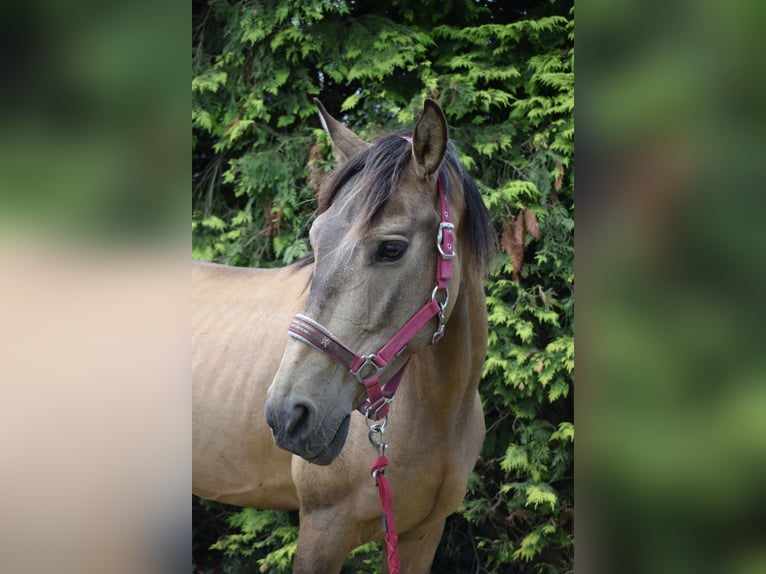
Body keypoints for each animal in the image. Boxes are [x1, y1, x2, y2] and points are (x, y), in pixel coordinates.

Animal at [195, 99, 496, 574]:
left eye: (391, 248)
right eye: (315, 240)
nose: (287, 415)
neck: (439, 412)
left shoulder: (423, 534)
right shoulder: (323, 530)